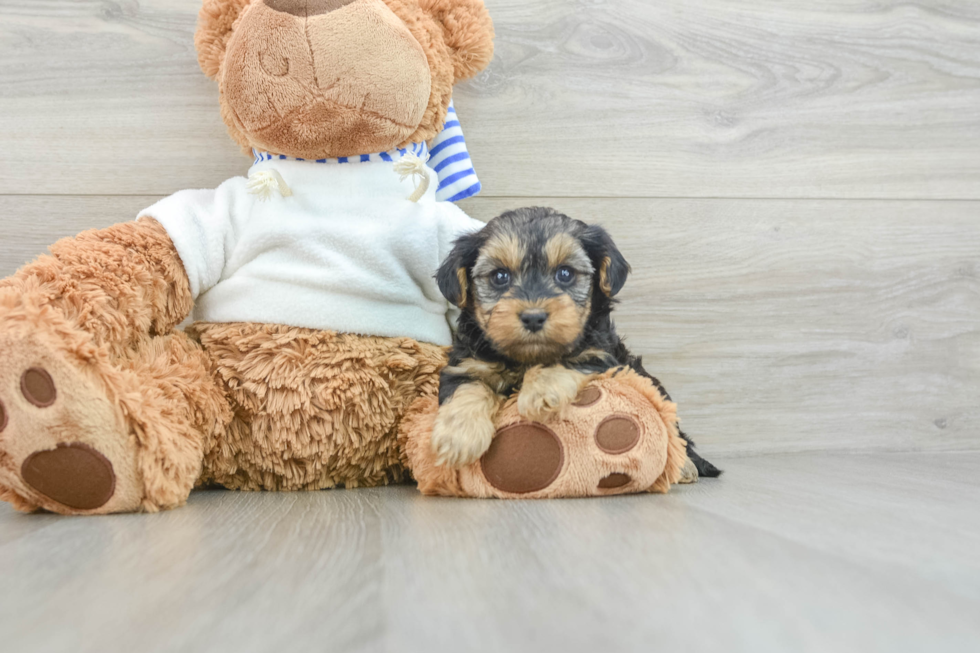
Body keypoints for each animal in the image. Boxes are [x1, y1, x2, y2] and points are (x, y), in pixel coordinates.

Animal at [430, 205, 720, 478]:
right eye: (500, 276)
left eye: (565, 273)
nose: (533, 317)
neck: (525, 359)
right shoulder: (466, 364)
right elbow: (467, 388)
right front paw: (458, 437)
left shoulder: (600, 355)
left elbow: (565, 361)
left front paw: (540, 392)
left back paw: (686, 466)